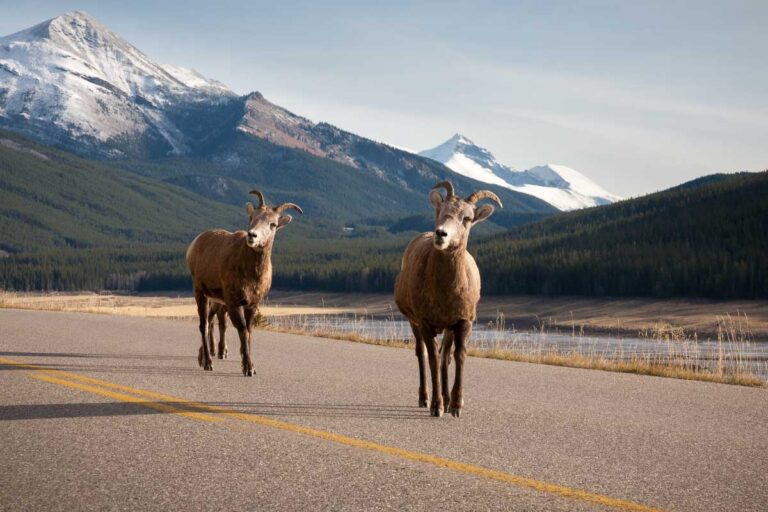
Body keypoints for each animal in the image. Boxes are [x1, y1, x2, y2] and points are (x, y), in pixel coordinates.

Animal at [186, 189, 303, 376]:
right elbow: (241, 330)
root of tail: (193, 245)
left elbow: (249, 331)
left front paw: (247, 364)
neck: (251, 275)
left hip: (215, 300)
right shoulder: (234, 302)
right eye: (252, 217)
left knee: (210, 322)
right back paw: (208, 363)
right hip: (200, 293)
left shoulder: (252, 304)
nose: (252, 235)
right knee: (204, 325)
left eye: (273, 224)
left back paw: (203, 358)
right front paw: (248, 368)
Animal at [394, 181, 501, 417]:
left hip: (448, 329)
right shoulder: (425, 322)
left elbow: (457, 357)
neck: (445, 292)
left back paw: (446, 397)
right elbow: (432, 359)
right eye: (441, 210)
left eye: (467, 218)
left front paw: (456, 405)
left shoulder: (462, 322)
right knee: (422, 354)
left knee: (446, 356)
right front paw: (437, 407)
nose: (441, 233)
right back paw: (425, 399)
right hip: (414, 323)